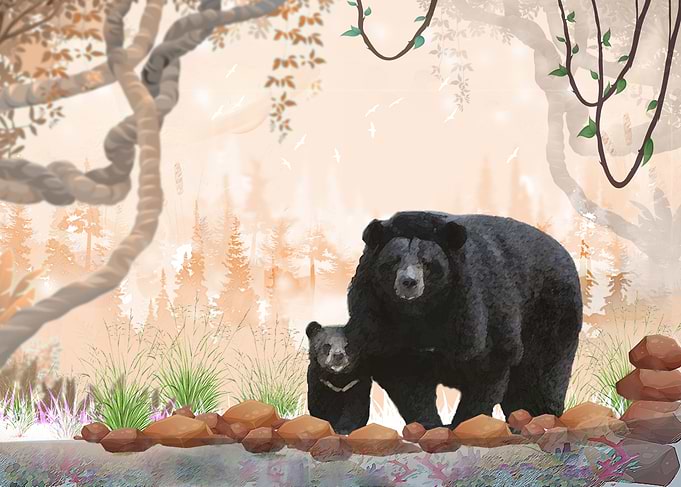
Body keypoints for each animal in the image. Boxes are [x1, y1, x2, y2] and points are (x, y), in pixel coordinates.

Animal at [343, 211, 583, 430]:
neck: (418, 312)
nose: (408, 282)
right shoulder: (376, 316)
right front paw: (430, 425)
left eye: (427, 263)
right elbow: (402, 372)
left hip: (551, 310)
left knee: (541, 370)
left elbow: (491, 361)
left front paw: (466, 423)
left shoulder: (476, 310)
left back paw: (540, 416)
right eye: (393, 261)